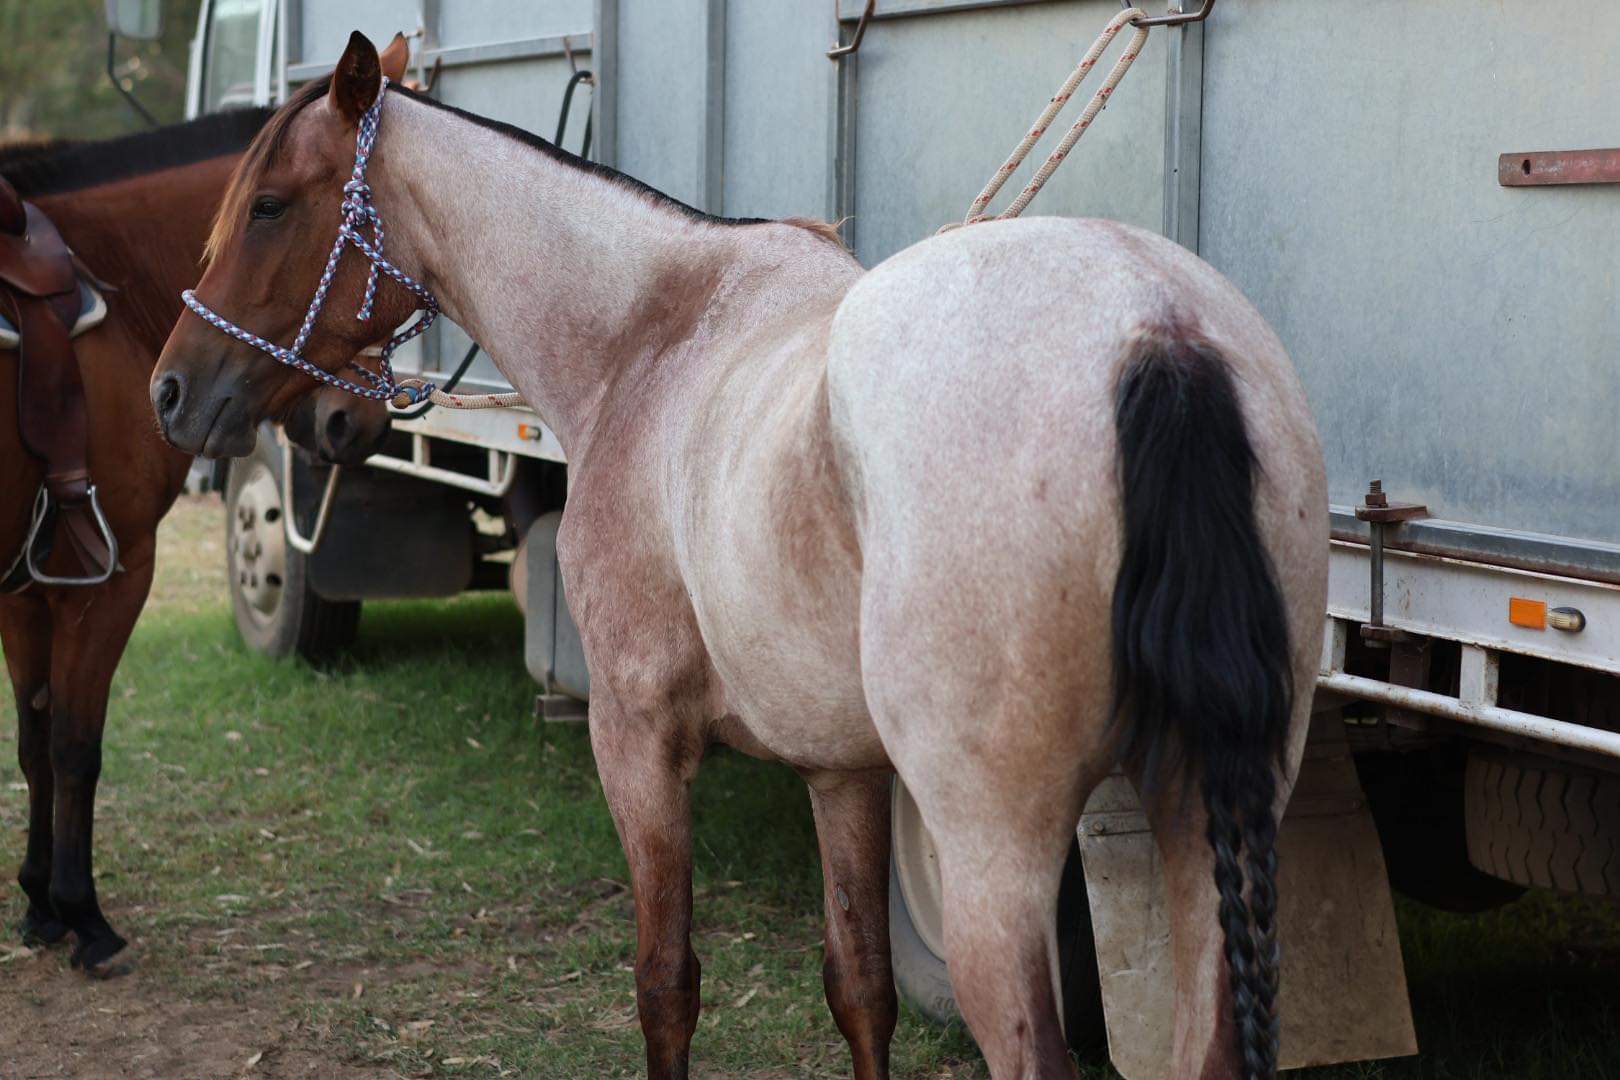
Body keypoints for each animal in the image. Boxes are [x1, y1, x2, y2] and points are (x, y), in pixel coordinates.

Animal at [0, 90, 397, 973]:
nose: (353, 421)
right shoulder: (113, 576)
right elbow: (76, 744)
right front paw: (84, 916)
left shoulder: (29, 593)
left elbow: (35, 738)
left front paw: (40, 902)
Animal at [150, 32, 1327, 1079]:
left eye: (269, 205)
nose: (172, 390)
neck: (649, 337)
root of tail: (1156, 332)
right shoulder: (842, 772)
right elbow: (860, 990)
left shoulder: (636, 742)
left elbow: (666, 983)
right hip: (1211, 828)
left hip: (995, 854)